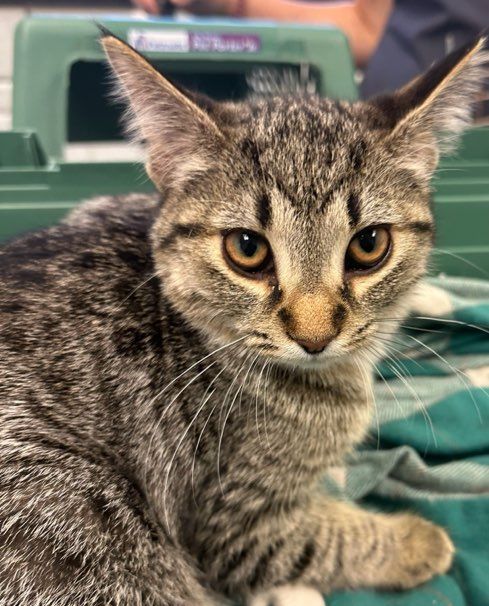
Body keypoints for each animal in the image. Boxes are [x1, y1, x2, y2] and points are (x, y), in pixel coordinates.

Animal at [0, 32, 482, 606]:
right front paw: (415, 540)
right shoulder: (234, 527)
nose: (315, 335)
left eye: (369, 244)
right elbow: (327, 539)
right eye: (246, 249)